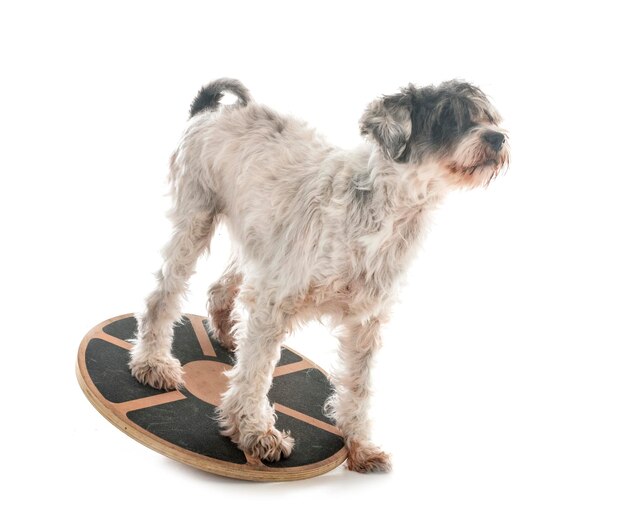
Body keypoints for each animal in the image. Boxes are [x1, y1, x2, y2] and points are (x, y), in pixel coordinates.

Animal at [127, 78, 508, 474]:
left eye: (488, 117)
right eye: (448, 118)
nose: (497, 138)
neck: (382, 213)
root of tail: (211, 109)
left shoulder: (366, 324)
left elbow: (358, 388)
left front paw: (360, 446)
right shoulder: (274, 301)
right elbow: (256, 373)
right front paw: (255, 432)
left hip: (257, 242)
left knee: (220, 287)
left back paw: (226, 333)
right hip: (195, 222)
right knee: (161, 297)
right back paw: (153, 363)